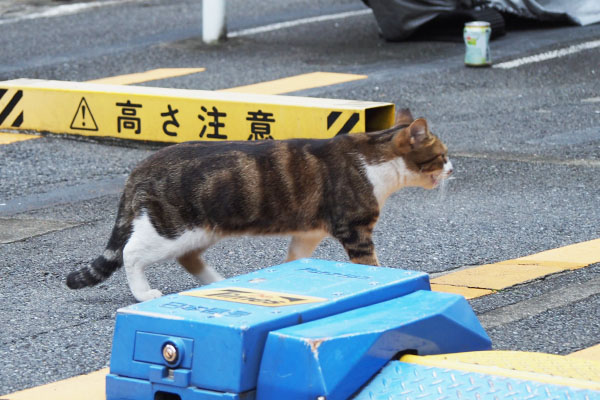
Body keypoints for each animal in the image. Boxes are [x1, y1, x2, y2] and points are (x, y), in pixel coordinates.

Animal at [65, 108, 452, 302]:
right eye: (442, 155)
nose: (452, 169)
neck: (375, 160)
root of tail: (142, 166)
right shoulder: (354, 227)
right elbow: (370, 263)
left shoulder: (309, 232)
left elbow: (295, 259)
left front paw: (286, 278)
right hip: (171, 227)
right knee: (131, 252)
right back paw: (144, 293)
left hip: (202, 230)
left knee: (188, 257)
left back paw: (217, 283)